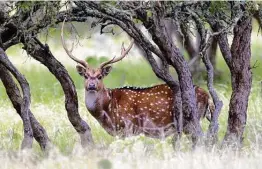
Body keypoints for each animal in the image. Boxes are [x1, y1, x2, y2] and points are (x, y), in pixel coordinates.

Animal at [60, 20, 214, 139]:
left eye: (100, 76)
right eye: (86, 75)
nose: (91, 85)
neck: (107, 111)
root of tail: (207, 96)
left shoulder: (128, 127)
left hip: (191, 119)